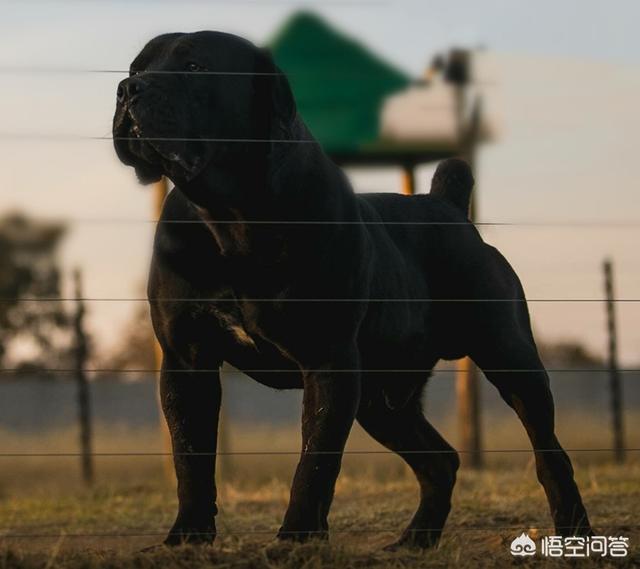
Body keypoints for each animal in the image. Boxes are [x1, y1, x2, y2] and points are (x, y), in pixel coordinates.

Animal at [112, 32, 592, 552]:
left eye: (196, 67)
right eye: (135, 68)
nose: (128, 88)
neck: (230, 216)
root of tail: (446, 204)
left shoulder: (328, 361)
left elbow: (316, 461)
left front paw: (296, 540)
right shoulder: (188, 362)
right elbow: (191, 458)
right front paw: (188, 537)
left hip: (509, 357)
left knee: (549, 454)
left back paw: (574, 532)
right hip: (382, 401)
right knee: (440, 460)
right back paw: (414, 540)